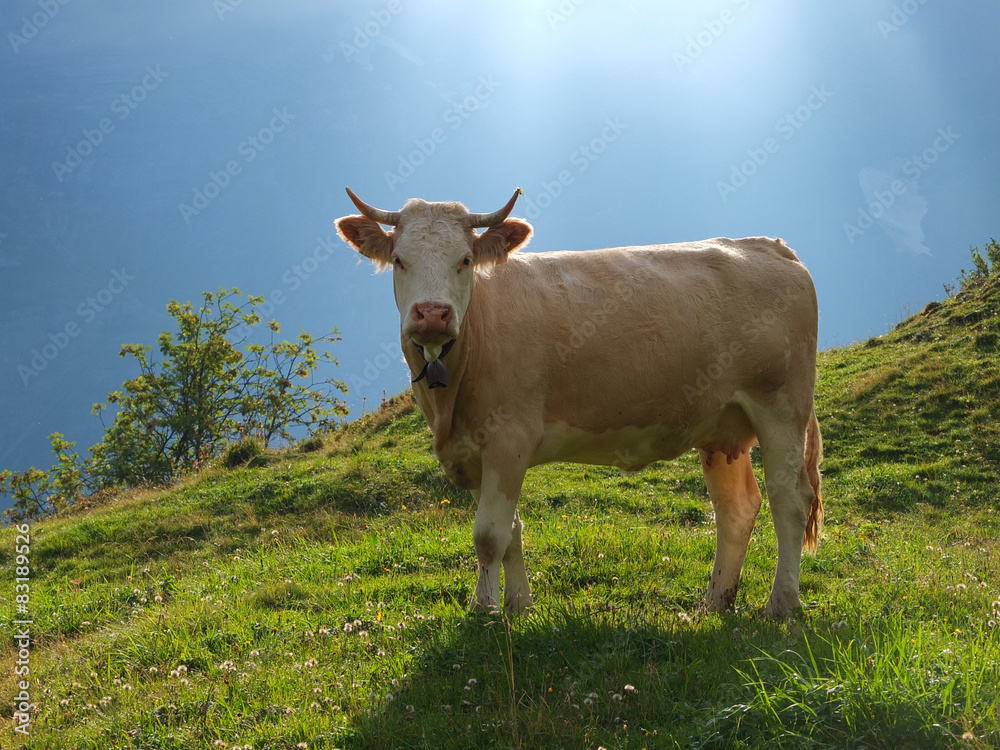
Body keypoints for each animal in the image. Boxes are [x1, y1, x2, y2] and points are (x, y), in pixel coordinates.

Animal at [336, 191, 820, 620]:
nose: (432, 314)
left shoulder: (509, 439)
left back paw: (782, 604)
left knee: (789, 501)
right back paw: (715, 602)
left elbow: (489, 536)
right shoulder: (471, 450)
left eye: (465, 260)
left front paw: (482, 610)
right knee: (736, 510)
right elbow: (512, 531)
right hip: (722, 427)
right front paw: (518, 606)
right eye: (400, 260)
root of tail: (769, 245)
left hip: (781, 405)